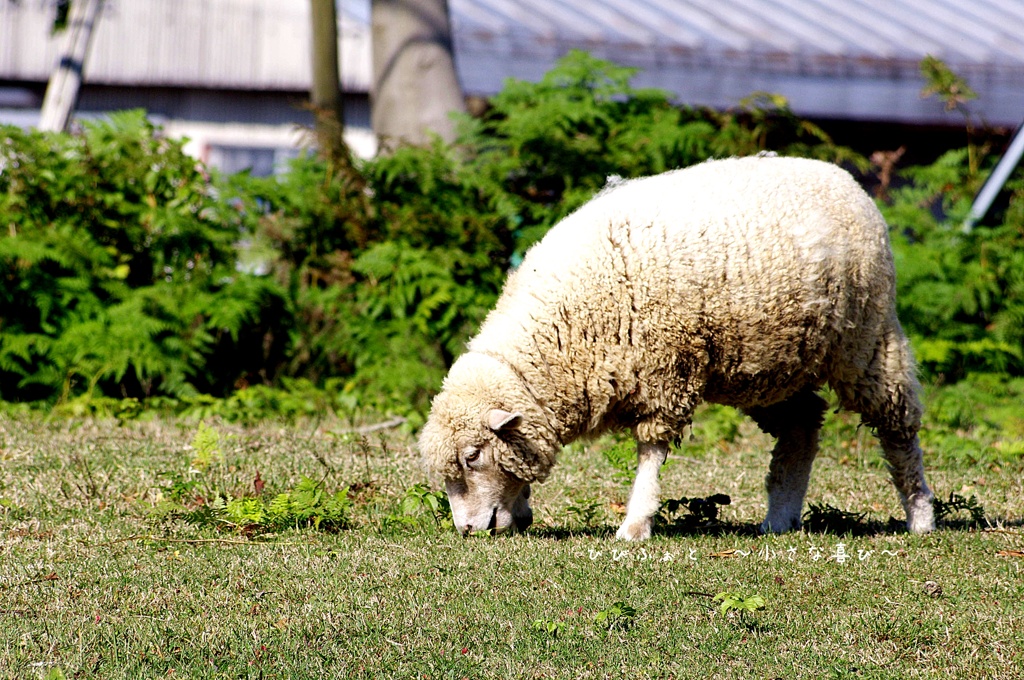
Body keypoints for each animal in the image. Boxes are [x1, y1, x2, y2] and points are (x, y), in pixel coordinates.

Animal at [415, 155, 937, 540]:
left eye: (472, 456)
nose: (466, 530)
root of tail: (845, 179)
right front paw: (522, 509)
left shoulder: (665, 370)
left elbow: (651, 452)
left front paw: (635, 525)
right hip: (769, 365)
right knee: (802, 424)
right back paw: (780, 518)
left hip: (865, 339)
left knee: (898, 426)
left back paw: (920, 516)